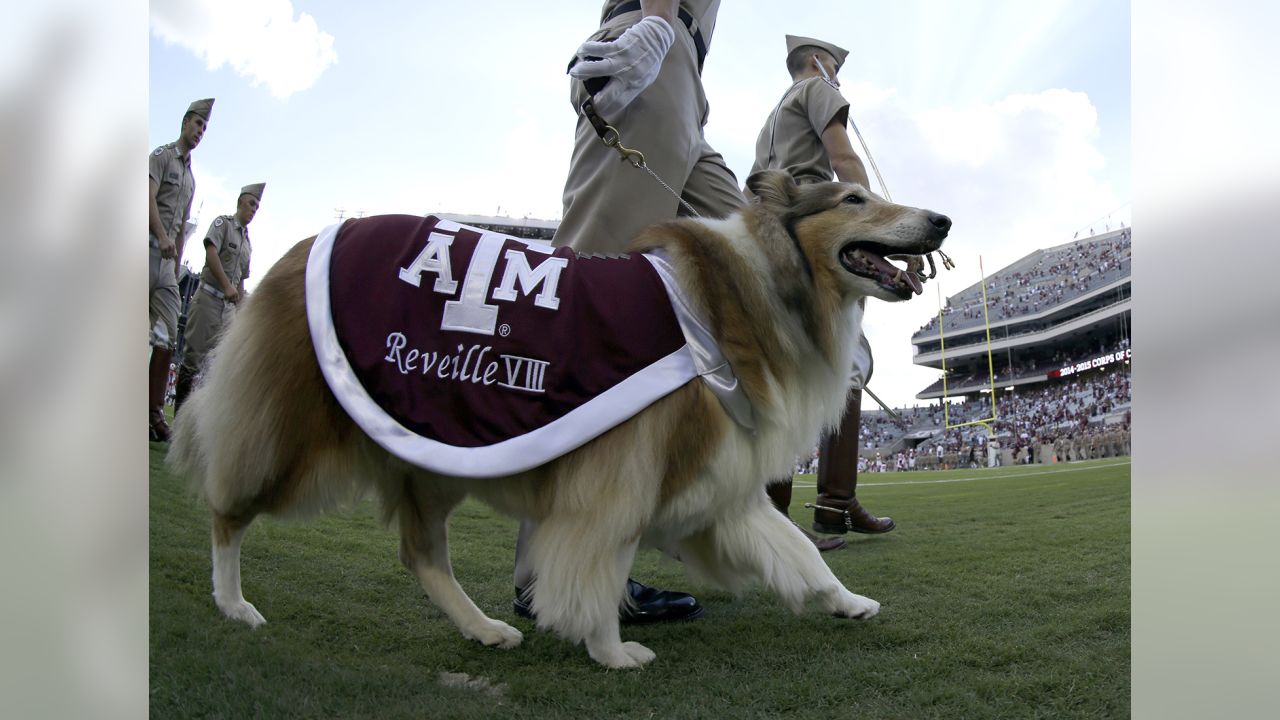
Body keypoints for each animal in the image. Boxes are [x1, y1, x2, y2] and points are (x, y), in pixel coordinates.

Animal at [167, 169, 952, 666]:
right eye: (854, 197)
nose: (943, 219)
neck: (750, 285)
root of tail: (304, 245)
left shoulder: (718, 478)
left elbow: (796, 550)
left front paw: (848, 602)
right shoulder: (620, 475)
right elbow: (598, 566)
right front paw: (611, 650)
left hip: (435, 442)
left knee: (420, 554)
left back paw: (483, 629)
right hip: (294, 438)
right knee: (227, 511)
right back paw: (233, 604)